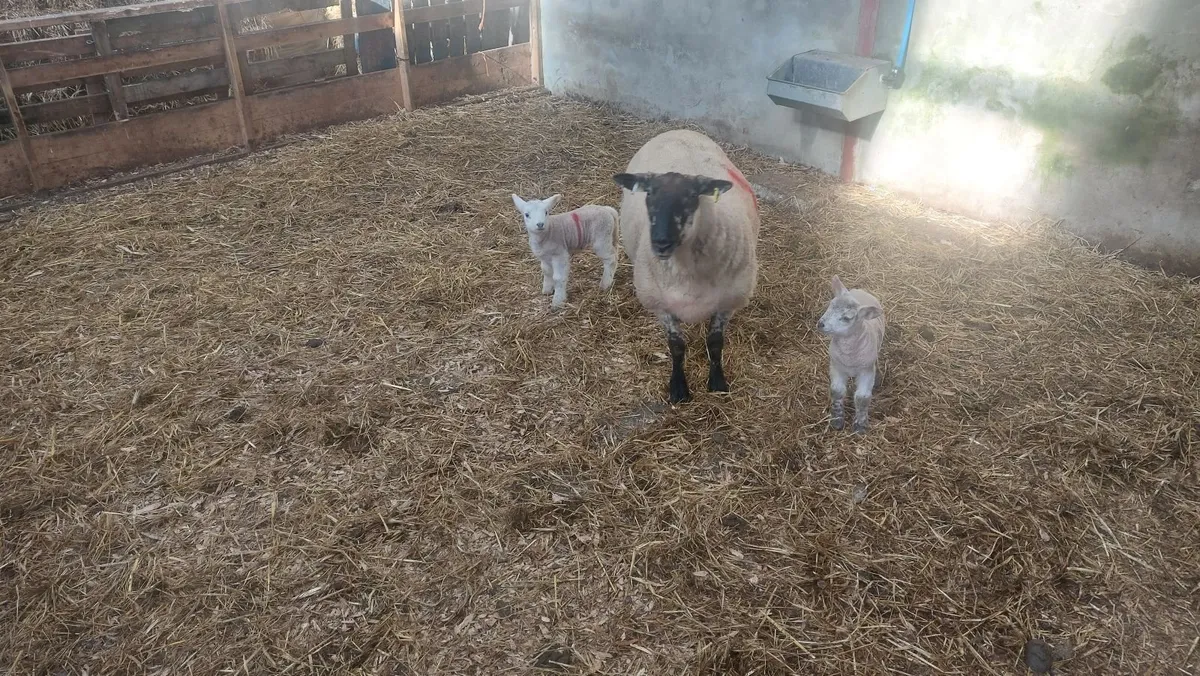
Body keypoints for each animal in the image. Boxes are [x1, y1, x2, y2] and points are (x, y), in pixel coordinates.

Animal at [611, 129, 760, 403]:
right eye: (649, 194)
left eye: (692, 196)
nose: (660, 242)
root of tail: (680, 130)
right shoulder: (660, 304)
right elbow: (677, 347)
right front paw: (679, 387)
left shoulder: (728, 301)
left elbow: (715, 342)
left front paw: (717, 381)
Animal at [817, 275, 886, 434]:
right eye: (830, 305)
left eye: (847, 318)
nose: (820, 324)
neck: (850, 357)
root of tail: (861, 291)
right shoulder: (836, 366)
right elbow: (837, 391)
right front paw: (836, 419)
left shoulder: (866, 371)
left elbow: (862, 397)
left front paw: (860, 425)